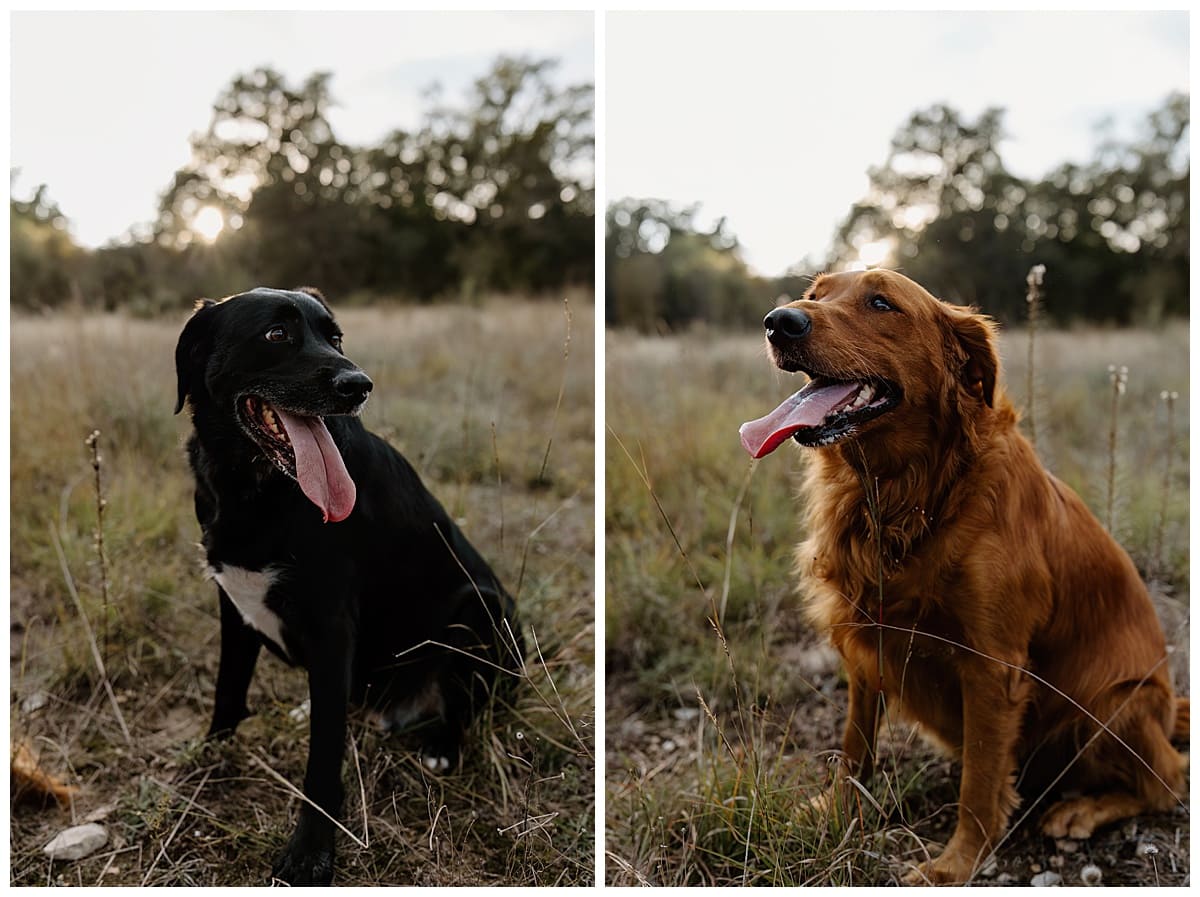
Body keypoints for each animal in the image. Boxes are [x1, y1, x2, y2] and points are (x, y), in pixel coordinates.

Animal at [175, 287, 525, 882]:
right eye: (276, 334)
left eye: (335, 337)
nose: (359, 385)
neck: (256, 489)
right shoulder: (232, 604)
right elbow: (228, 692)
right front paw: (211, 762)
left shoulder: (332, 626)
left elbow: (322, 760)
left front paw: (310, 854)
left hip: (480, 608)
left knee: (463, 705)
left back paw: (441, 745)